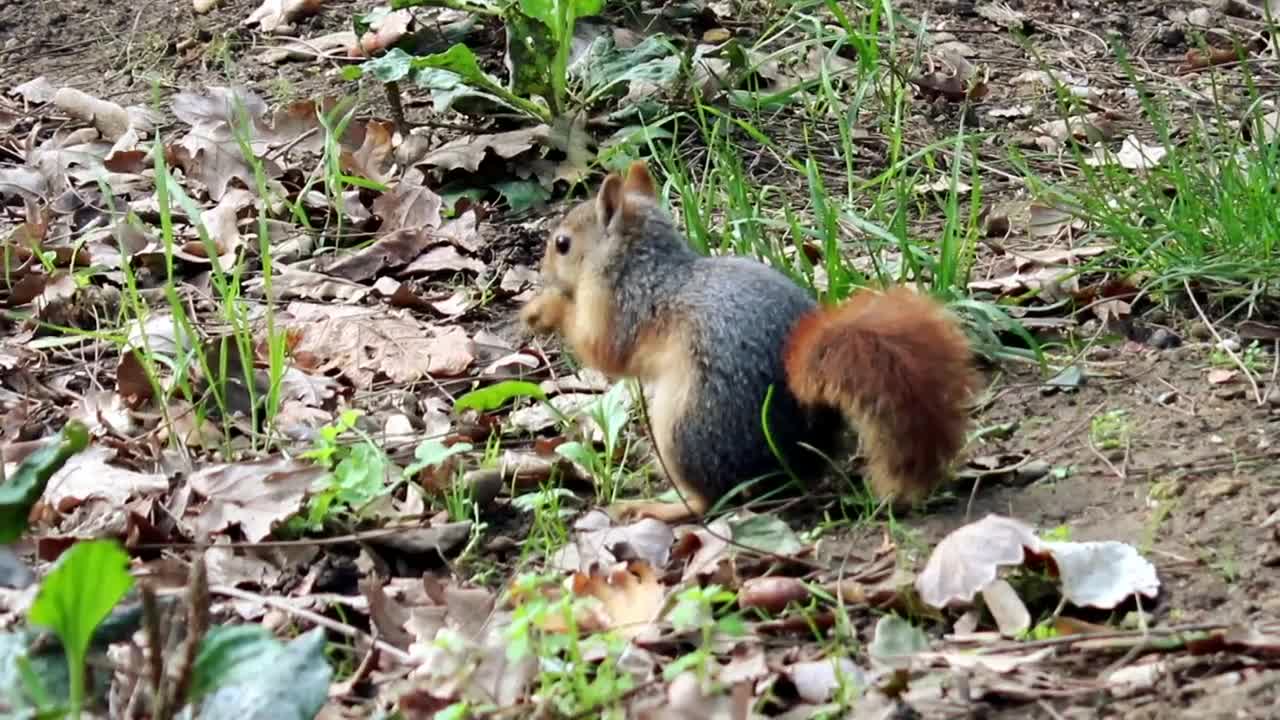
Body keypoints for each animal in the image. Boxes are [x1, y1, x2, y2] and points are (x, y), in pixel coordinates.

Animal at [519, 159, 977, 517]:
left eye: (563, 244)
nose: (542, 271)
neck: (644, 264)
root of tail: (794, 451)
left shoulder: (625, 306)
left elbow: (602, 349)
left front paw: (543, 309)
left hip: (685, 425)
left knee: (708, 500)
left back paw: (657, 507)